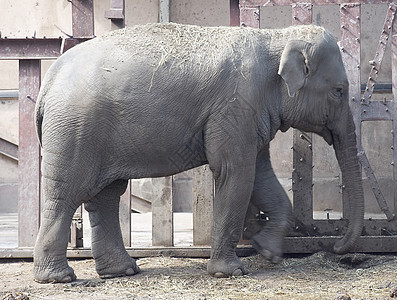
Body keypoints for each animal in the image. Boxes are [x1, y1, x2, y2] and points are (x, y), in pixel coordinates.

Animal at [32, 22, 364, 282]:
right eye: (339, 91)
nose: (336, 248)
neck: (276, 36)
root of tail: (49, 80)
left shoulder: (249, 114)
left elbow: (259, 174)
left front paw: (267, 251)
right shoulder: (235, 106)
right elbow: (235, 172)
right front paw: (231, 272)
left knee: (107, 195)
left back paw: (122, 271)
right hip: (75, 129)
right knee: (66, 195)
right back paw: (58, 277)